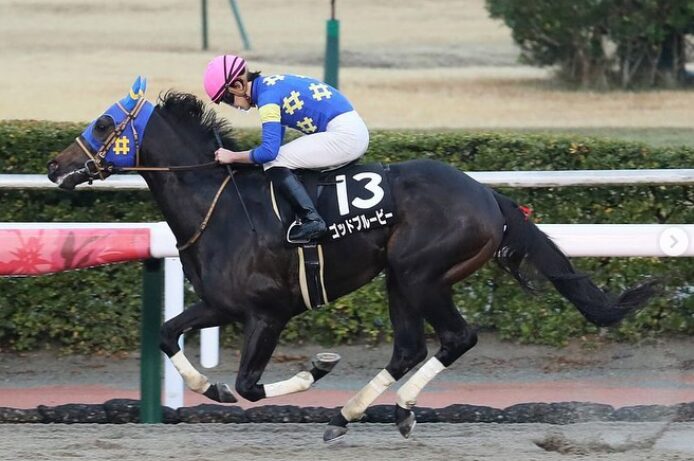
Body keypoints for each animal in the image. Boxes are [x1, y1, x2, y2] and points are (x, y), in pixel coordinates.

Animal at [47, 77, 656, 440]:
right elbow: (167, 334)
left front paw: (316, 368)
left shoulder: (267, 312)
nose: (55, 166)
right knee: (410, 347)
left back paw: (386, 408)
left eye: (104, 124)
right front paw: (208, 388)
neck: (217, 205)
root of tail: (489, 196)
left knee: (456, 337)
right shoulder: (221, 304)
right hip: (400, 279)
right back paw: (353, 413)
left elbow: (249, 385)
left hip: (420, 274)